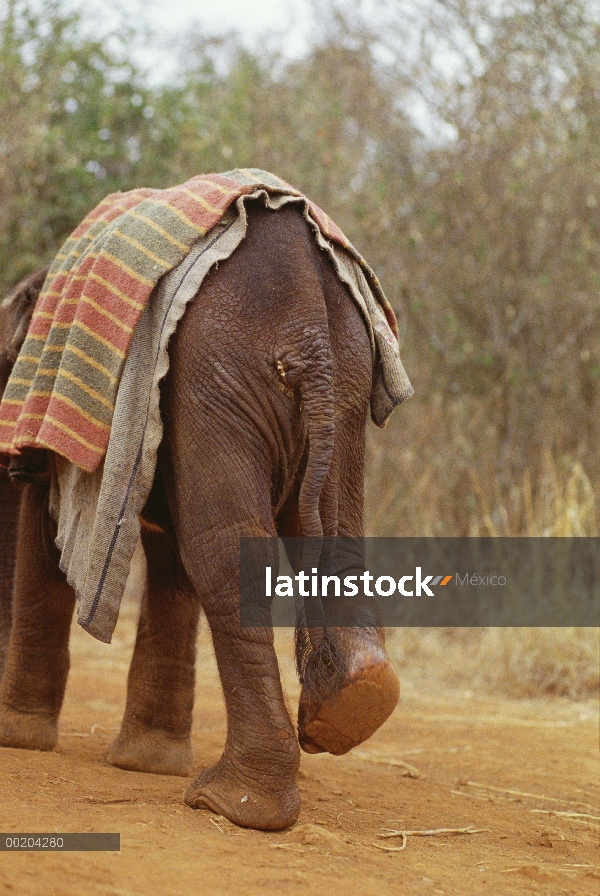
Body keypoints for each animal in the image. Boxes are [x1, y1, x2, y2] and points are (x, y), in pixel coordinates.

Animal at [1, 203, 404, 832]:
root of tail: (310, 336)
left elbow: (48, 535)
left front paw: (18, 740)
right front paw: (147, 764)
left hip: (220, 374)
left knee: (223, 551)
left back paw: (229, 805)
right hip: (335, 384)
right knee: (312, 538)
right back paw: (356, 703)